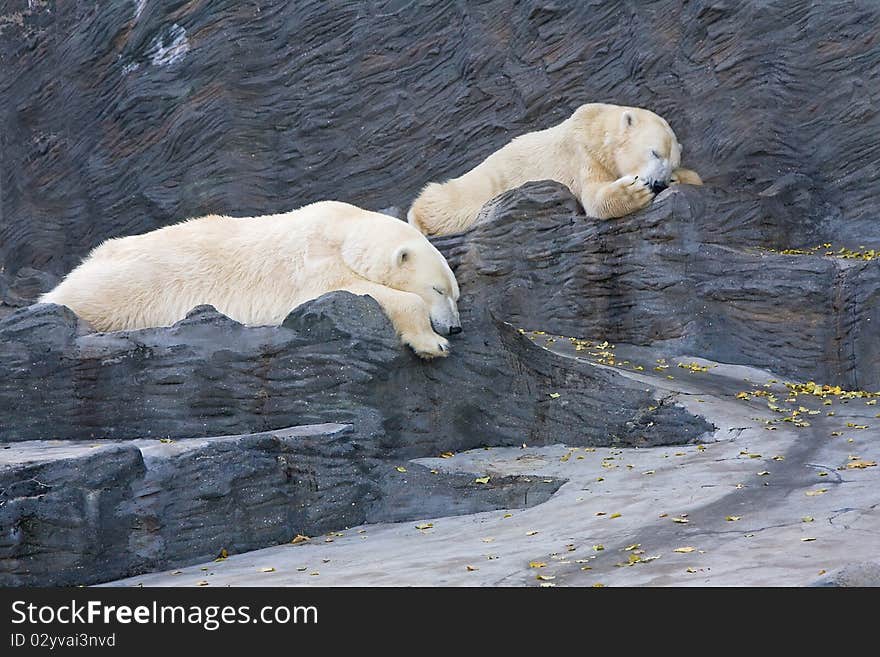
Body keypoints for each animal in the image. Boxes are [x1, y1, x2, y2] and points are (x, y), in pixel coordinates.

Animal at [41, 202, 464, 362]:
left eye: (456, 293)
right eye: (437, 289)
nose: (456, 328)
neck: (342, 231)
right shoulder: (312, 265)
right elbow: (353, 290)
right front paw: (432, 343)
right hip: (120, 288)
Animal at [410, 102, 704, 236]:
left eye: (672, 164)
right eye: (654, 152)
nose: (657, 184)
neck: (595, 127)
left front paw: (685, 178)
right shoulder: (581, 154)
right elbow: (594, 197)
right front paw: (632, 191)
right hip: (479, 185)